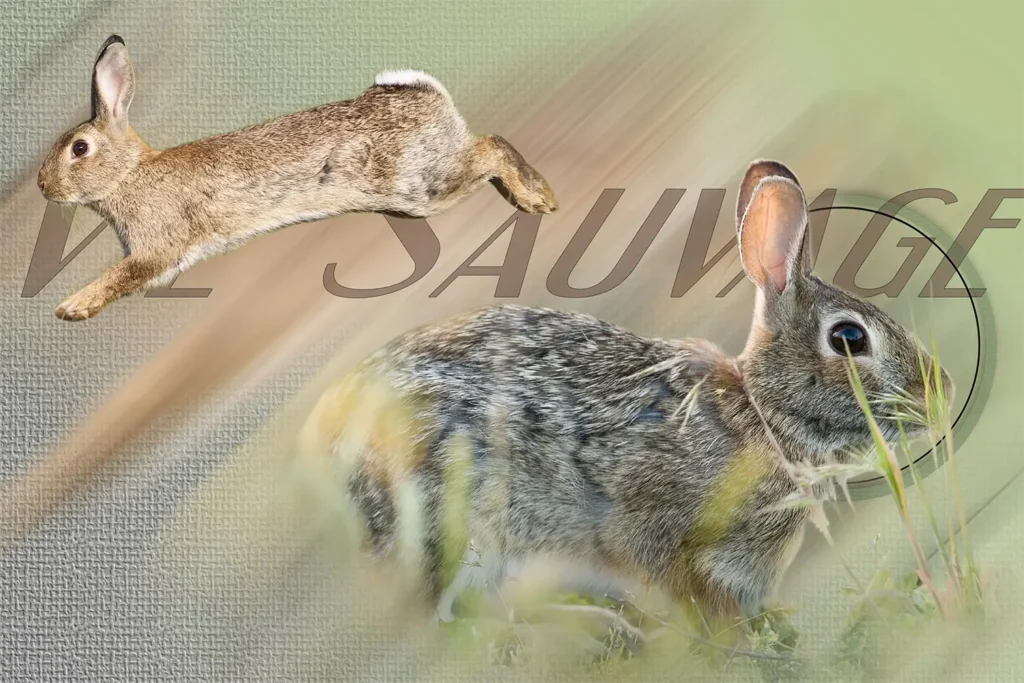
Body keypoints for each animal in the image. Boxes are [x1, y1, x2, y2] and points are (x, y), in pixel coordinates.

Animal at [37, 35, 558, 321]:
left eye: (79, 149)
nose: (43, 186)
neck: (129, 174)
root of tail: (428, 96)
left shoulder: (156, 248)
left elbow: (121, 275)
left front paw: (71, 307)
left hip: (418, 186)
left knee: (491, 146)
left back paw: (539, 198)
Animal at [294, 159, 952, 636]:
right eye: (848, 339)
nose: (939, 395)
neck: (761, 416)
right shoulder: (652, 526)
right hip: (455, 522)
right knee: (452, 622)